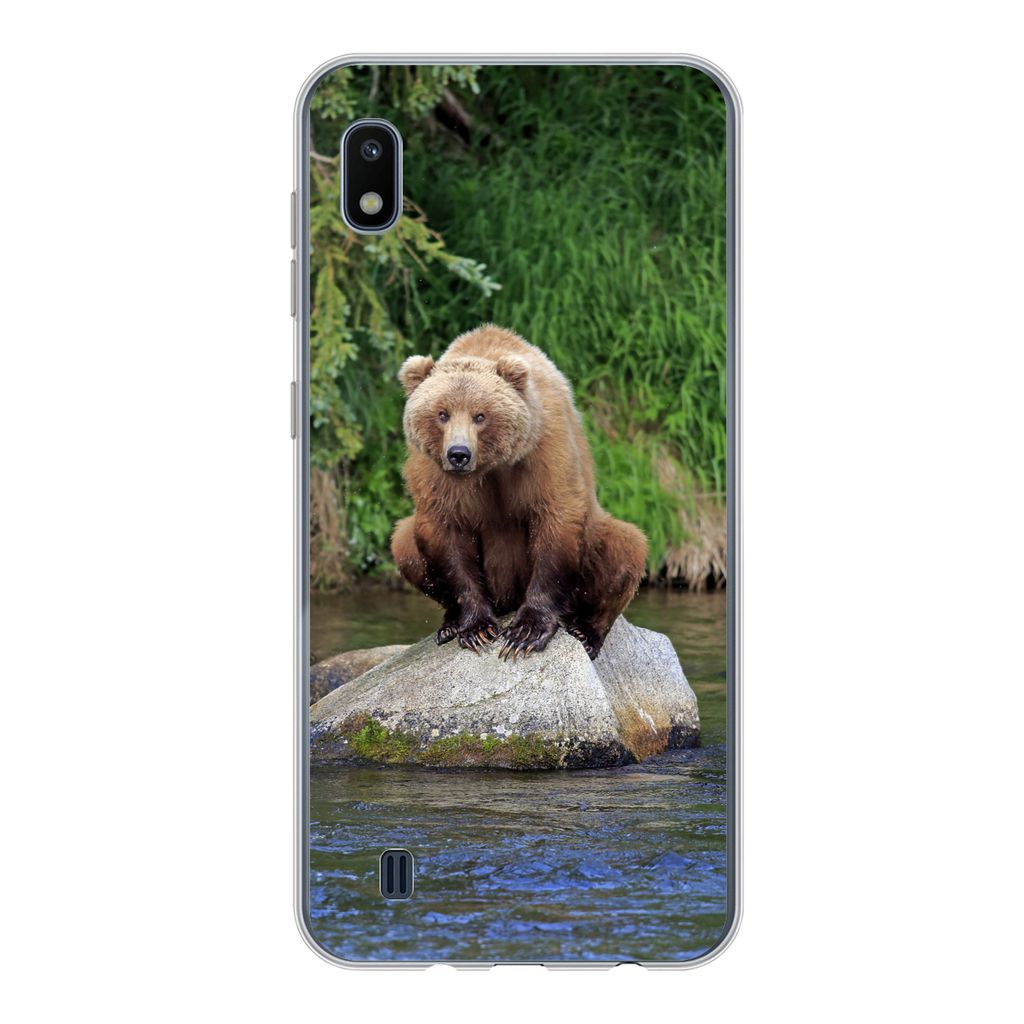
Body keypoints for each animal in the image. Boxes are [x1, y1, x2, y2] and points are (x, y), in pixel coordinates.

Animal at [390, 324, 648, 660]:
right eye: (442, 413)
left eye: (480, 415)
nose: (459, 454)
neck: (491, 467)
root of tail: (507, 601)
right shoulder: (435, 472)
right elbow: (447, 532)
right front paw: (476, 628)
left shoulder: (544, 449)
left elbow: (557, 518)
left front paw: (526, 632)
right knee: (404, 542)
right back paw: (448, 625)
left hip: (596, 542)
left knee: (625, 546)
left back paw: (586, 630)